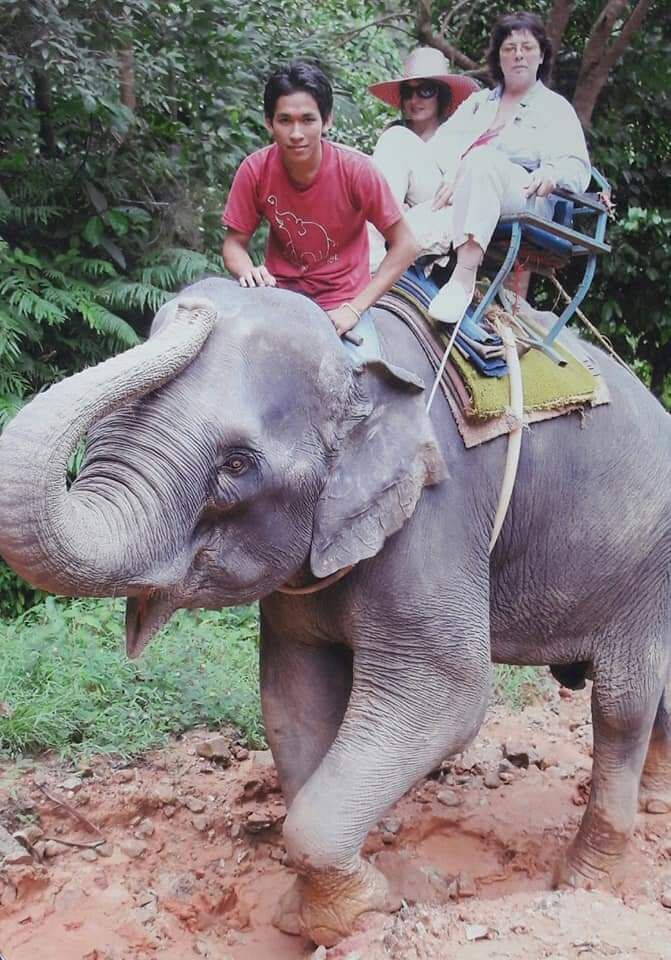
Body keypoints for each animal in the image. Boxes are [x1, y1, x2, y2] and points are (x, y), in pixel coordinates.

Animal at [0, 278, 668, 944]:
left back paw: (583, 875)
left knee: (621, 702)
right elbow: (293, 699)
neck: (361, 370)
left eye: (236, 465)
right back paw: (656, 802)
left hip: (646, 565)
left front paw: (362, 912)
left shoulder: (435, 517)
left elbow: (449, 695)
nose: (195, 306)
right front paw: (317, 910)